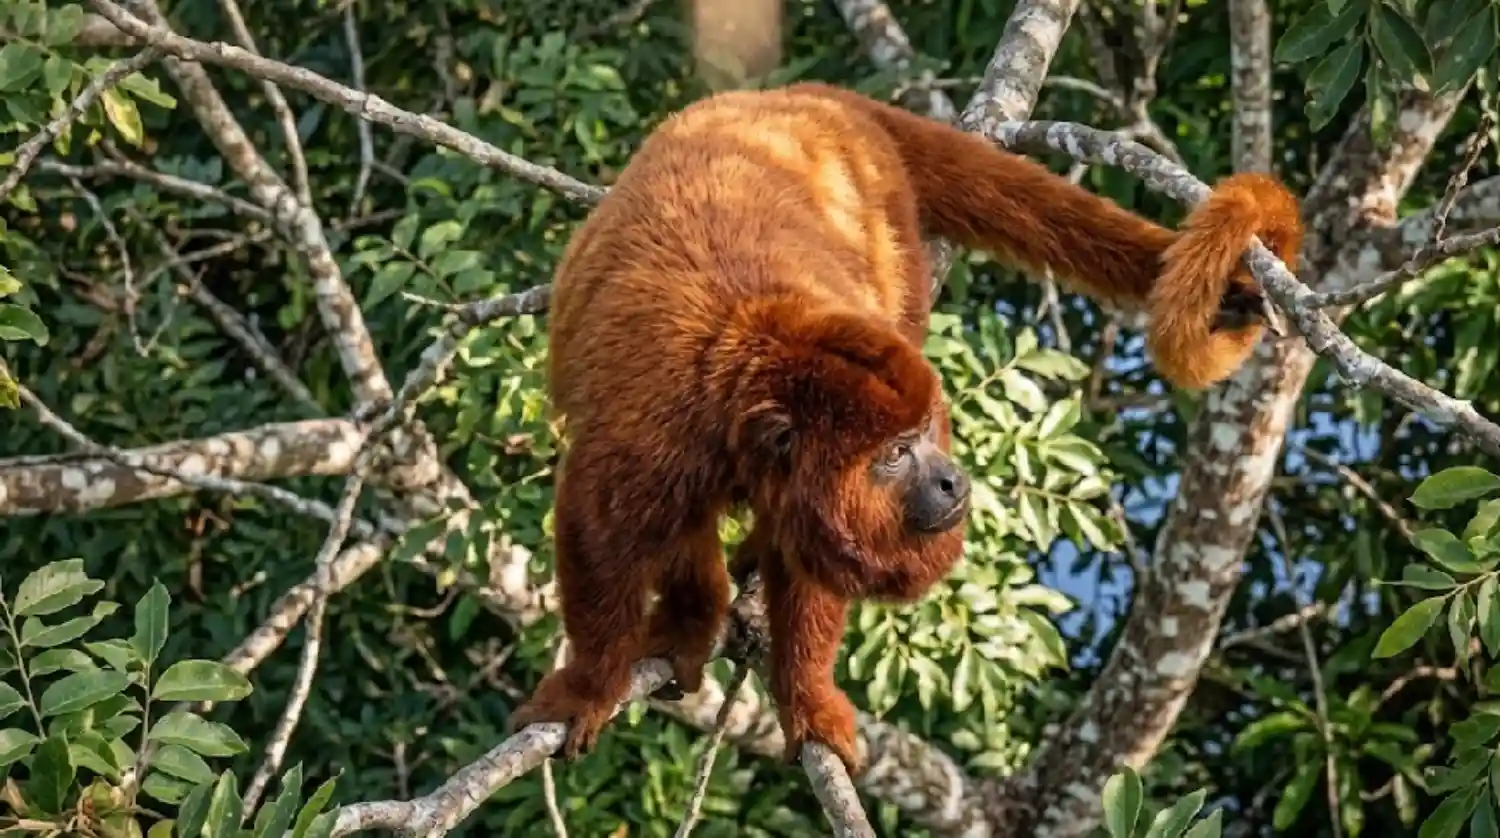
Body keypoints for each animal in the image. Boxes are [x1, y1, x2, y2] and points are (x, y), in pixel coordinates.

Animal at [506, 81, 1304, 775]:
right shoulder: (653, 433)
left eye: (925, 432)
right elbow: (597, 532)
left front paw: (809, 697)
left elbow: (808, 568)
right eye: (894, 454)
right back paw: (692, 613)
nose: (950, 480)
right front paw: (591, 684)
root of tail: (800, 95)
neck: (751, 374)